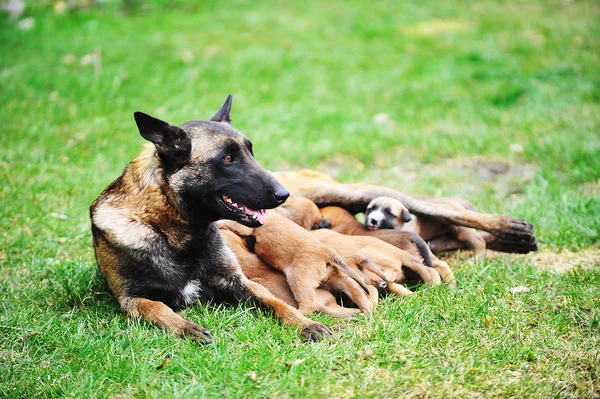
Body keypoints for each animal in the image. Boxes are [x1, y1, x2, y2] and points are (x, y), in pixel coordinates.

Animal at [90, 97, 332, 344]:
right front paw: (187, 327)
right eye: (228, 158)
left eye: (251, 152)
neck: (177, 235)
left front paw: (304, 323)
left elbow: (275, 301)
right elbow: (158, 308)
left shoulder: (238, 281)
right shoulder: (131, 299)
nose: (284, 195)